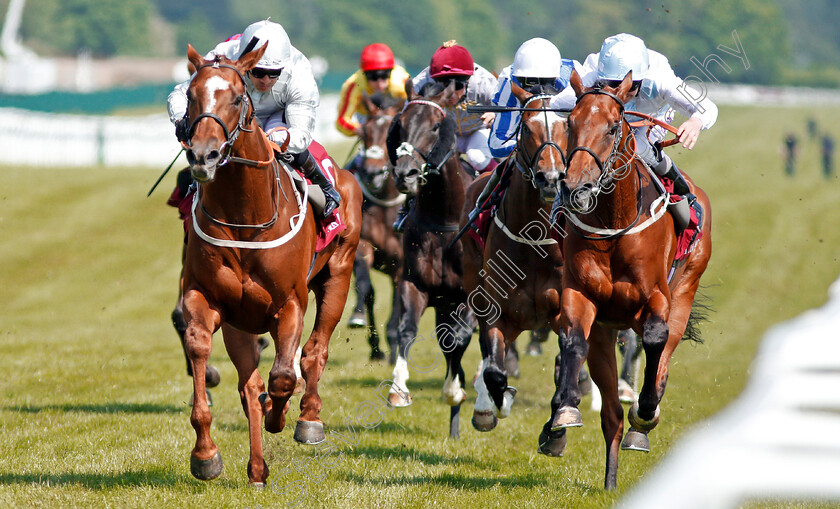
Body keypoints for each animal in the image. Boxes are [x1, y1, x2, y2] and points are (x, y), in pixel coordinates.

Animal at [177, 44, 360, 484]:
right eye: (191, 95)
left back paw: (308, 419)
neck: (245, 217)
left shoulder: (289, 303)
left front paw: (283, 414)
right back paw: (257, 467)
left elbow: (283, 377)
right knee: (250, 383)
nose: (203, 154)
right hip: (241, 322)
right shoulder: (207, 299)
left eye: (235, 98)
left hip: (339, 275)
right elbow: (201, 348)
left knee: (313, 352)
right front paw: (205, 454)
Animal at [384, 79, 476, 436]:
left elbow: (458, 340)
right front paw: (398, 390)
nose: (404, 174)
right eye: (401, 124)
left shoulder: (470, 295)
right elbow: (407, 329)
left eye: (437, 126)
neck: (444, 220)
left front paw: (454, 391)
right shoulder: (416, 283)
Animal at [460, 85, 572, 454]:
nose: (550, 178)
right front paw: (496, 402)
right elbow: (494, 370)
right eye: (527, 127)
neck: (533, 238)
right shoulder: (496, 308)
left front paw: (556, 431)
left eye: (569, 126)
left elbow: (565, 365)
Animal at [556, 71, 712, 488]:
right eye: (570, 122)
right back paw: (608, 477)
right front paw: (564, 410)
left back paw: (643, 422)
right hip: (605, 330)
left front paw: (643, 414)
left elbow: (655, 340)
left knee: (663, 361)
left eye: (613, 127)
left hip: (685, 290)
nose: (575, 186)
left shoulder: (656, 297)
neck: (615, 224)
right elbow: (572, 340)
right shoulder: (581, 295)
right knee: (610, 413)